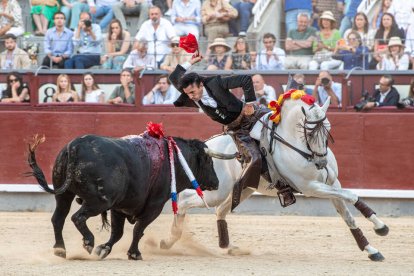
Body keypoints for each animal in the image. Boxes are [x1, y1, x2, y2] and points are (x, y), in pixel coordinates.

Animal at [27, 133, 218, 258]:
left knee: (58, 218)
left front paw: (104, 249)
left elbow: (117, 232)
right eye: (209, 161)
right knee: (77, 217)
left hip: (65, 195)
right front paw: (134, 253)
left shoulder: (119, 207)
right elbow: (138, 229)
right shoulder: (154, 206)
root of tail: (75, 146)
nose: (216, 182)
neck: (175, 160)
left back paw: (60, 249)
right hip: (99, 202)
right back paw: (88, 242)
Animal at [161, 95, 388, 260]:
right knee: (185, 200)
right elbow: (351, 195)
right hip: (217, 190)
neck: (295, 144)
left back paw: (229, 247)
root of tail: (208, 145)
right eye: (310, 133)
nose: (321, 163)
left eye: (328, 129)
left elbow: (348, 214)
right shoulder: (310, 187)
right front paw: (381, 227)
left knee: (219, 210)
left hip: (242, 189)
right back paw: (169, 240)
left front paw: (371, 247)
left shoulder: (332, 183)